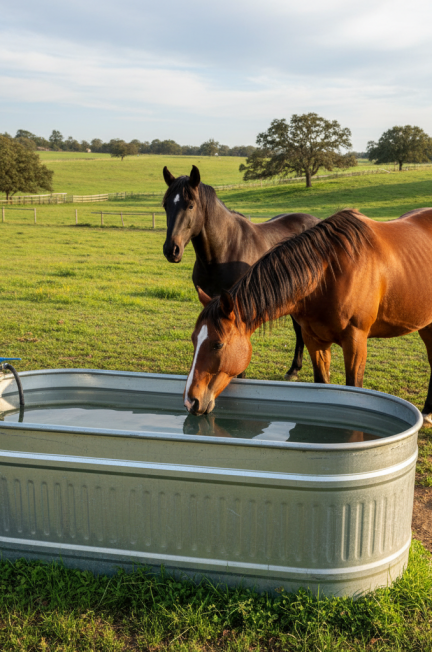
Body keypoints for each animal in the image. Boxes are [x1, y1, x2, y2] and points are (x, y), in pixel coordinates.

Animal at [162, 164, 319, 380]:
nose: (172, 250)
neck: (224, 250)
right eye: (166, 205)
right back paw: (294, 369)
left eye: (191, 205)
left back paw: (295, 369)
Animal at [182, 207, 432, 427]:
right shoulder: (314, 340)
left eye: (217, 344)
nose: (190, 401)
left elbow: (354, 385)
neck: (328, 273)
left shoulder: (356, 342)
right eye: (194, 340)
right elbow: (321, 383)